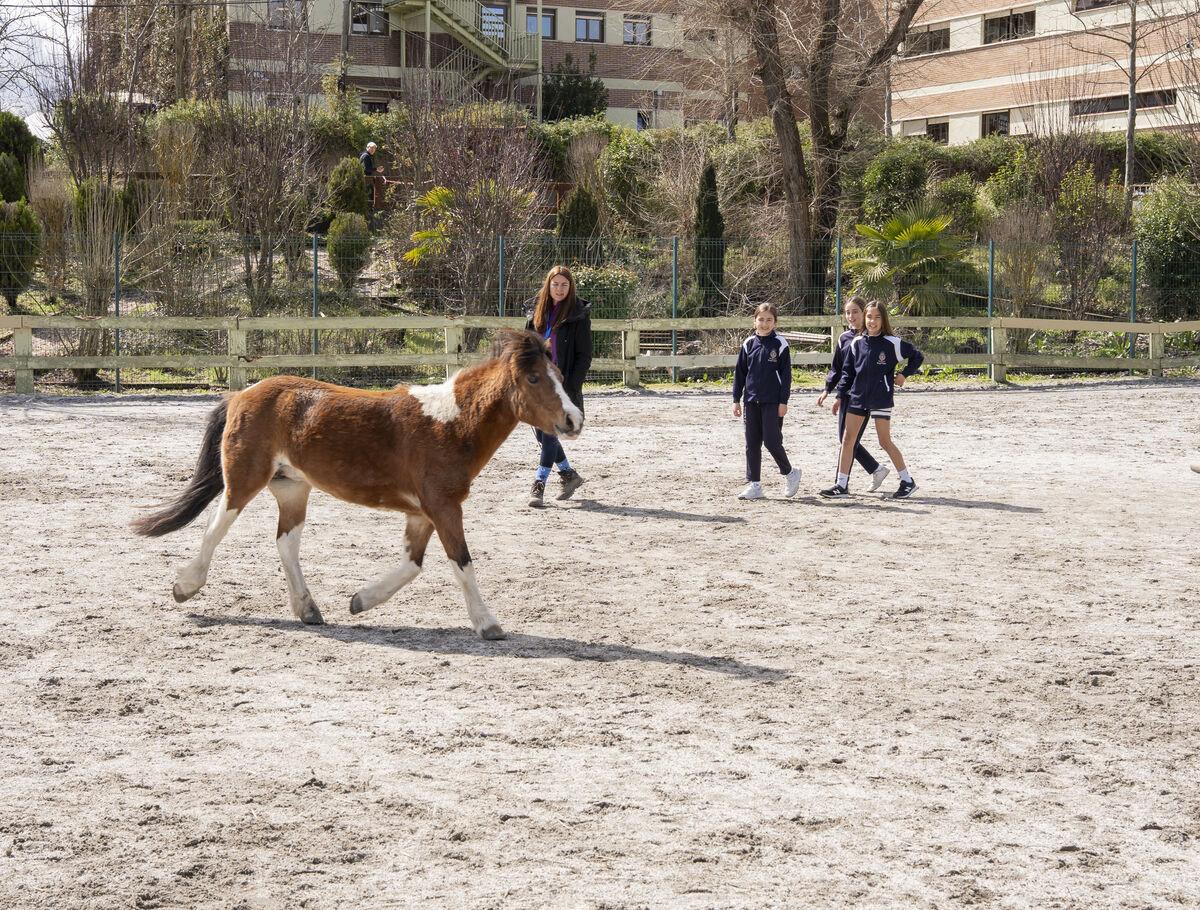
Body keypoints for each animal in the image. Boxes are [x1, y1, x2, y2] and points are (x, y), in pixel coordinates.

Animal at [132, 329, 584, 640]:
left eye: (560, 374)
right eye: (534, 379)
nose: (574, 420)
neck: (452, 423)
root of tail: (241, 394)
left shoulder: (424, 513)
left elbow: (412, 565)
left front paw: (360, 601)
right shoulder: (444, 507)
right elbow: (462, 562)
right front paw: (488, 624)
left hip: (293, 488)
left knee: (285, 543)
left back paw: (308, 609)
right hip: (244, 480)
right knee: (215, 528)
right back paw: (185, 587)